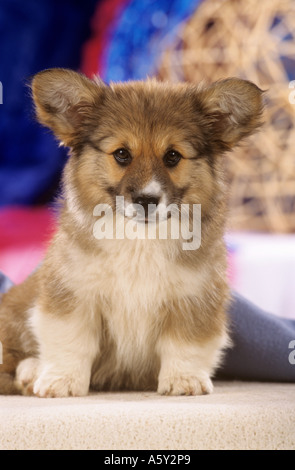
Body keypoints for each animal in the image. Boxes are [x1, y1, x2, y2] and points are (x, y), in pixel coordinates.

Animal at [0, 70, 264, 396]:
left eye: (173, 156)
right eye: (122, 154)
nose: (147, 200)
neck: (139, 239)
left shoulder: (193, 298)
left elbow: (185, 344)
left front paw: (183, 380)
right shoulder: (74, 295)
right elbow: (70, 342)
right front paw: (62, 381)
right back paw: (32, 370)